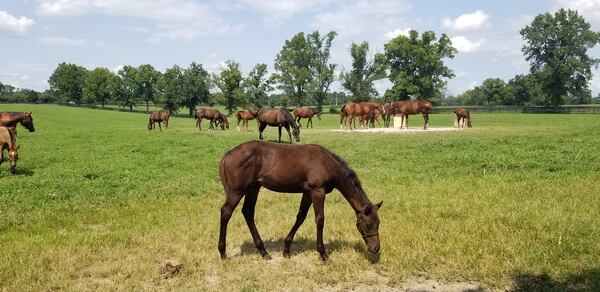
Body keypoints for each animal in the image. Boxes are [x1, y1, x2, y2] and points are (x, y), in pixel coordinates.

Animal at [218, 140, 382, 262]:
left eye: (378, 223)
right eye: (368, 225)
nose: (376, 249)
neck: (327, 164)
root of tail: (226, 156)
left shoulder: (307, 193)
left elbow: (300, 217)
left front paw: (286, 250)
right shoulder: (317, 191)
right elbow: (320, 220)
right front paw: (323, 254)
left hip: (253, 188)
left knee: (248, 212)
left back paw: (264, 252)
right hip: (236, 192)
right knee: (226, 212)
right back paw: (223, 253)